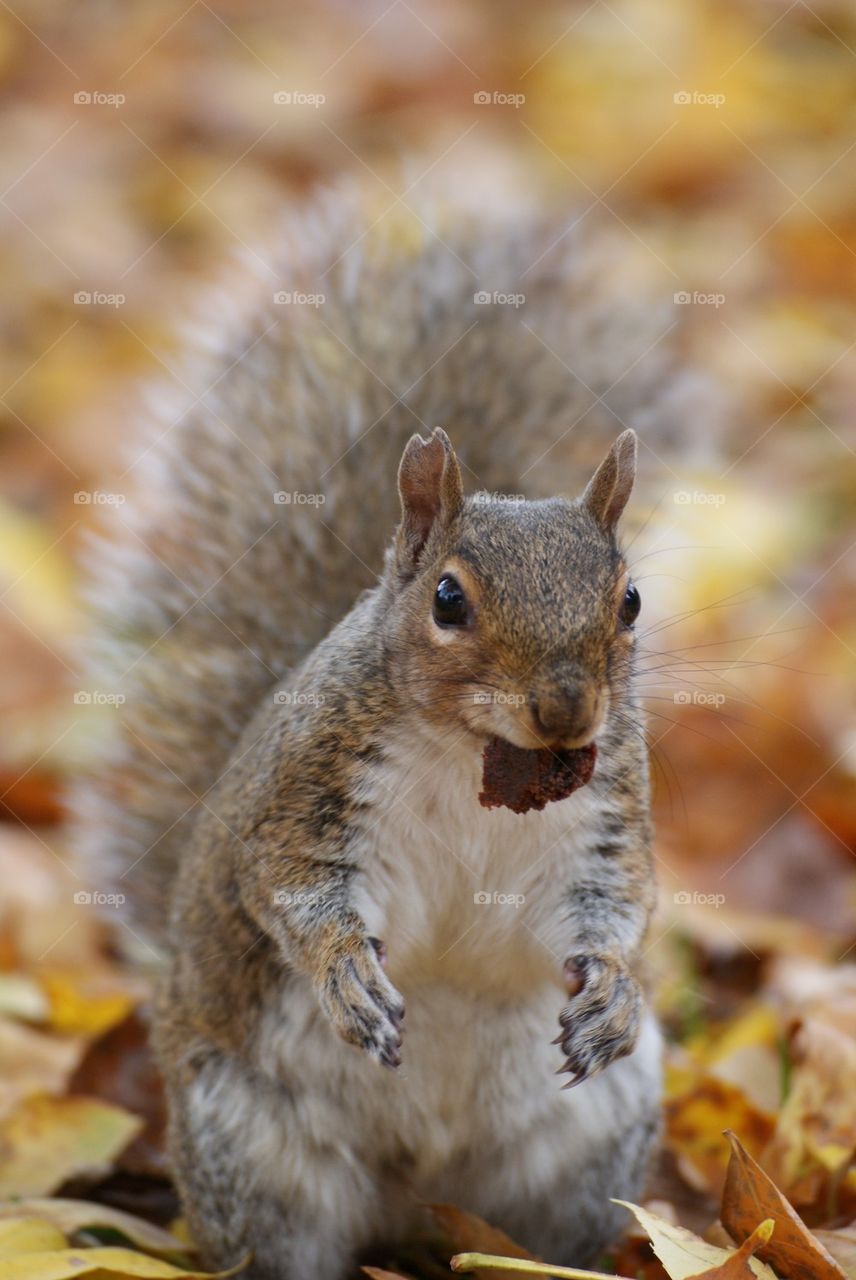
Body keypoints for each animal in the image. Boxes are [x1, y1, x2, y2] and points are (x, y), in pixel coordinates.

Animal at [70, 188, 714, 1278]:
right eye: (447, 599)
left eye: (630, 601)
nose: (564, 709)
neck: (481, 760)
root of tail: (419, 1204)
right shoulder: (306, 794)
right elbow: (292, 889)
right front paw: (346, 974)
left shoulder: (607, 813)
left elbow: (617, 903)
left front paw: (618, 992)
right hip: (252, 1153)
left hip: (587, 1150)